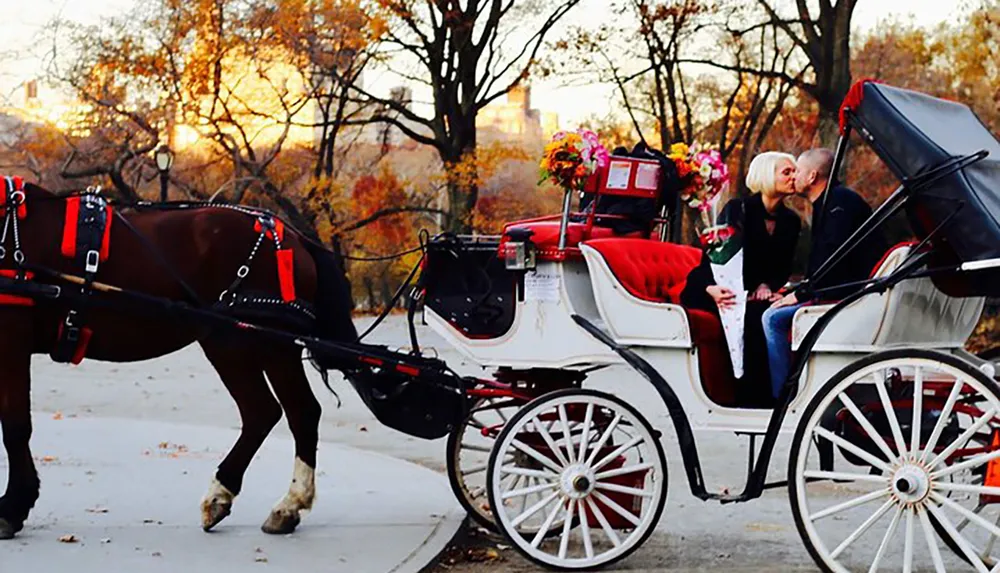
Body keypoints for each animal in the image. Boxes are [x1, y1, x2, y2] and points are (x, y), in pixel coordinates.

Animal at [0, 178, 360, 536]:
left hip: (247, 343)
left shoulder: (12, 335)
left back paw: (282, 502)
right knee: (273, 411)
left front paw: (13, 506)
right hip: (243, 344)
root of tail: (292, 235)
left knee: (290, 411)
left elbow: (15, 424)